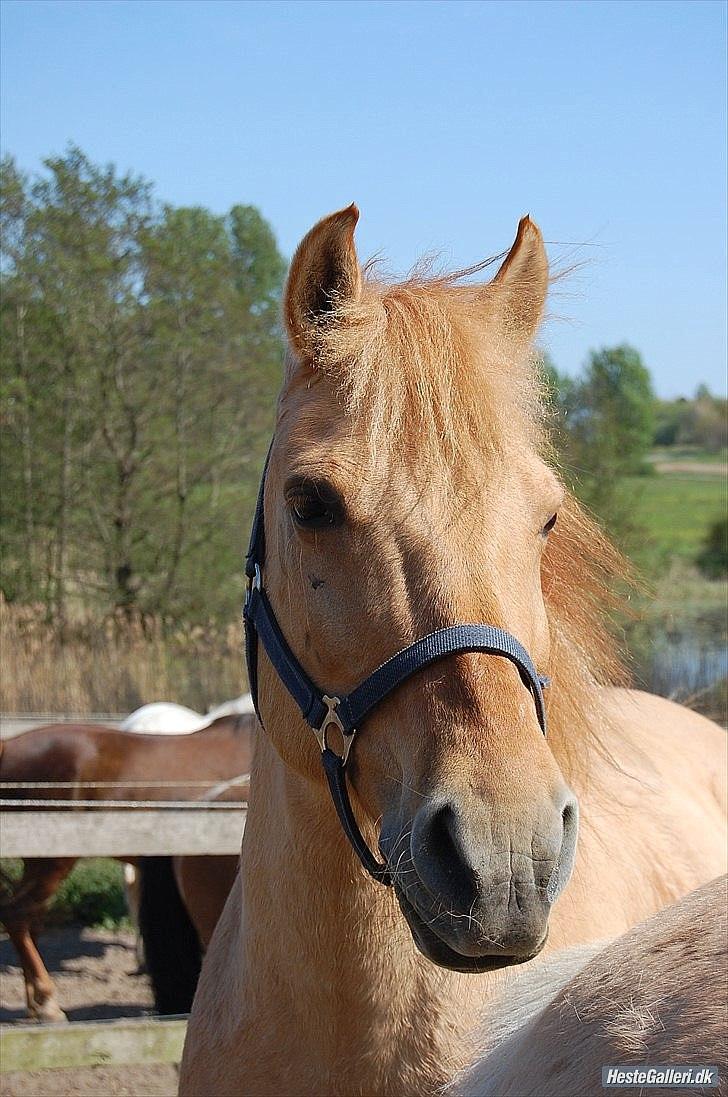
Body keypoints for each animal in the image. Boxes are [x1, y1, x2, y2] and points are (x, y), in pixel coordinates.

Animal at [1, 715, 253, 1022]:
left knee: (30, 923)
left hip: (35, 861)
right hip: (51, 861)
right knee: (17, 915)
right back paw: (47, 1002)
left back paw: (35, 1005)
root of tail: (7, 746)